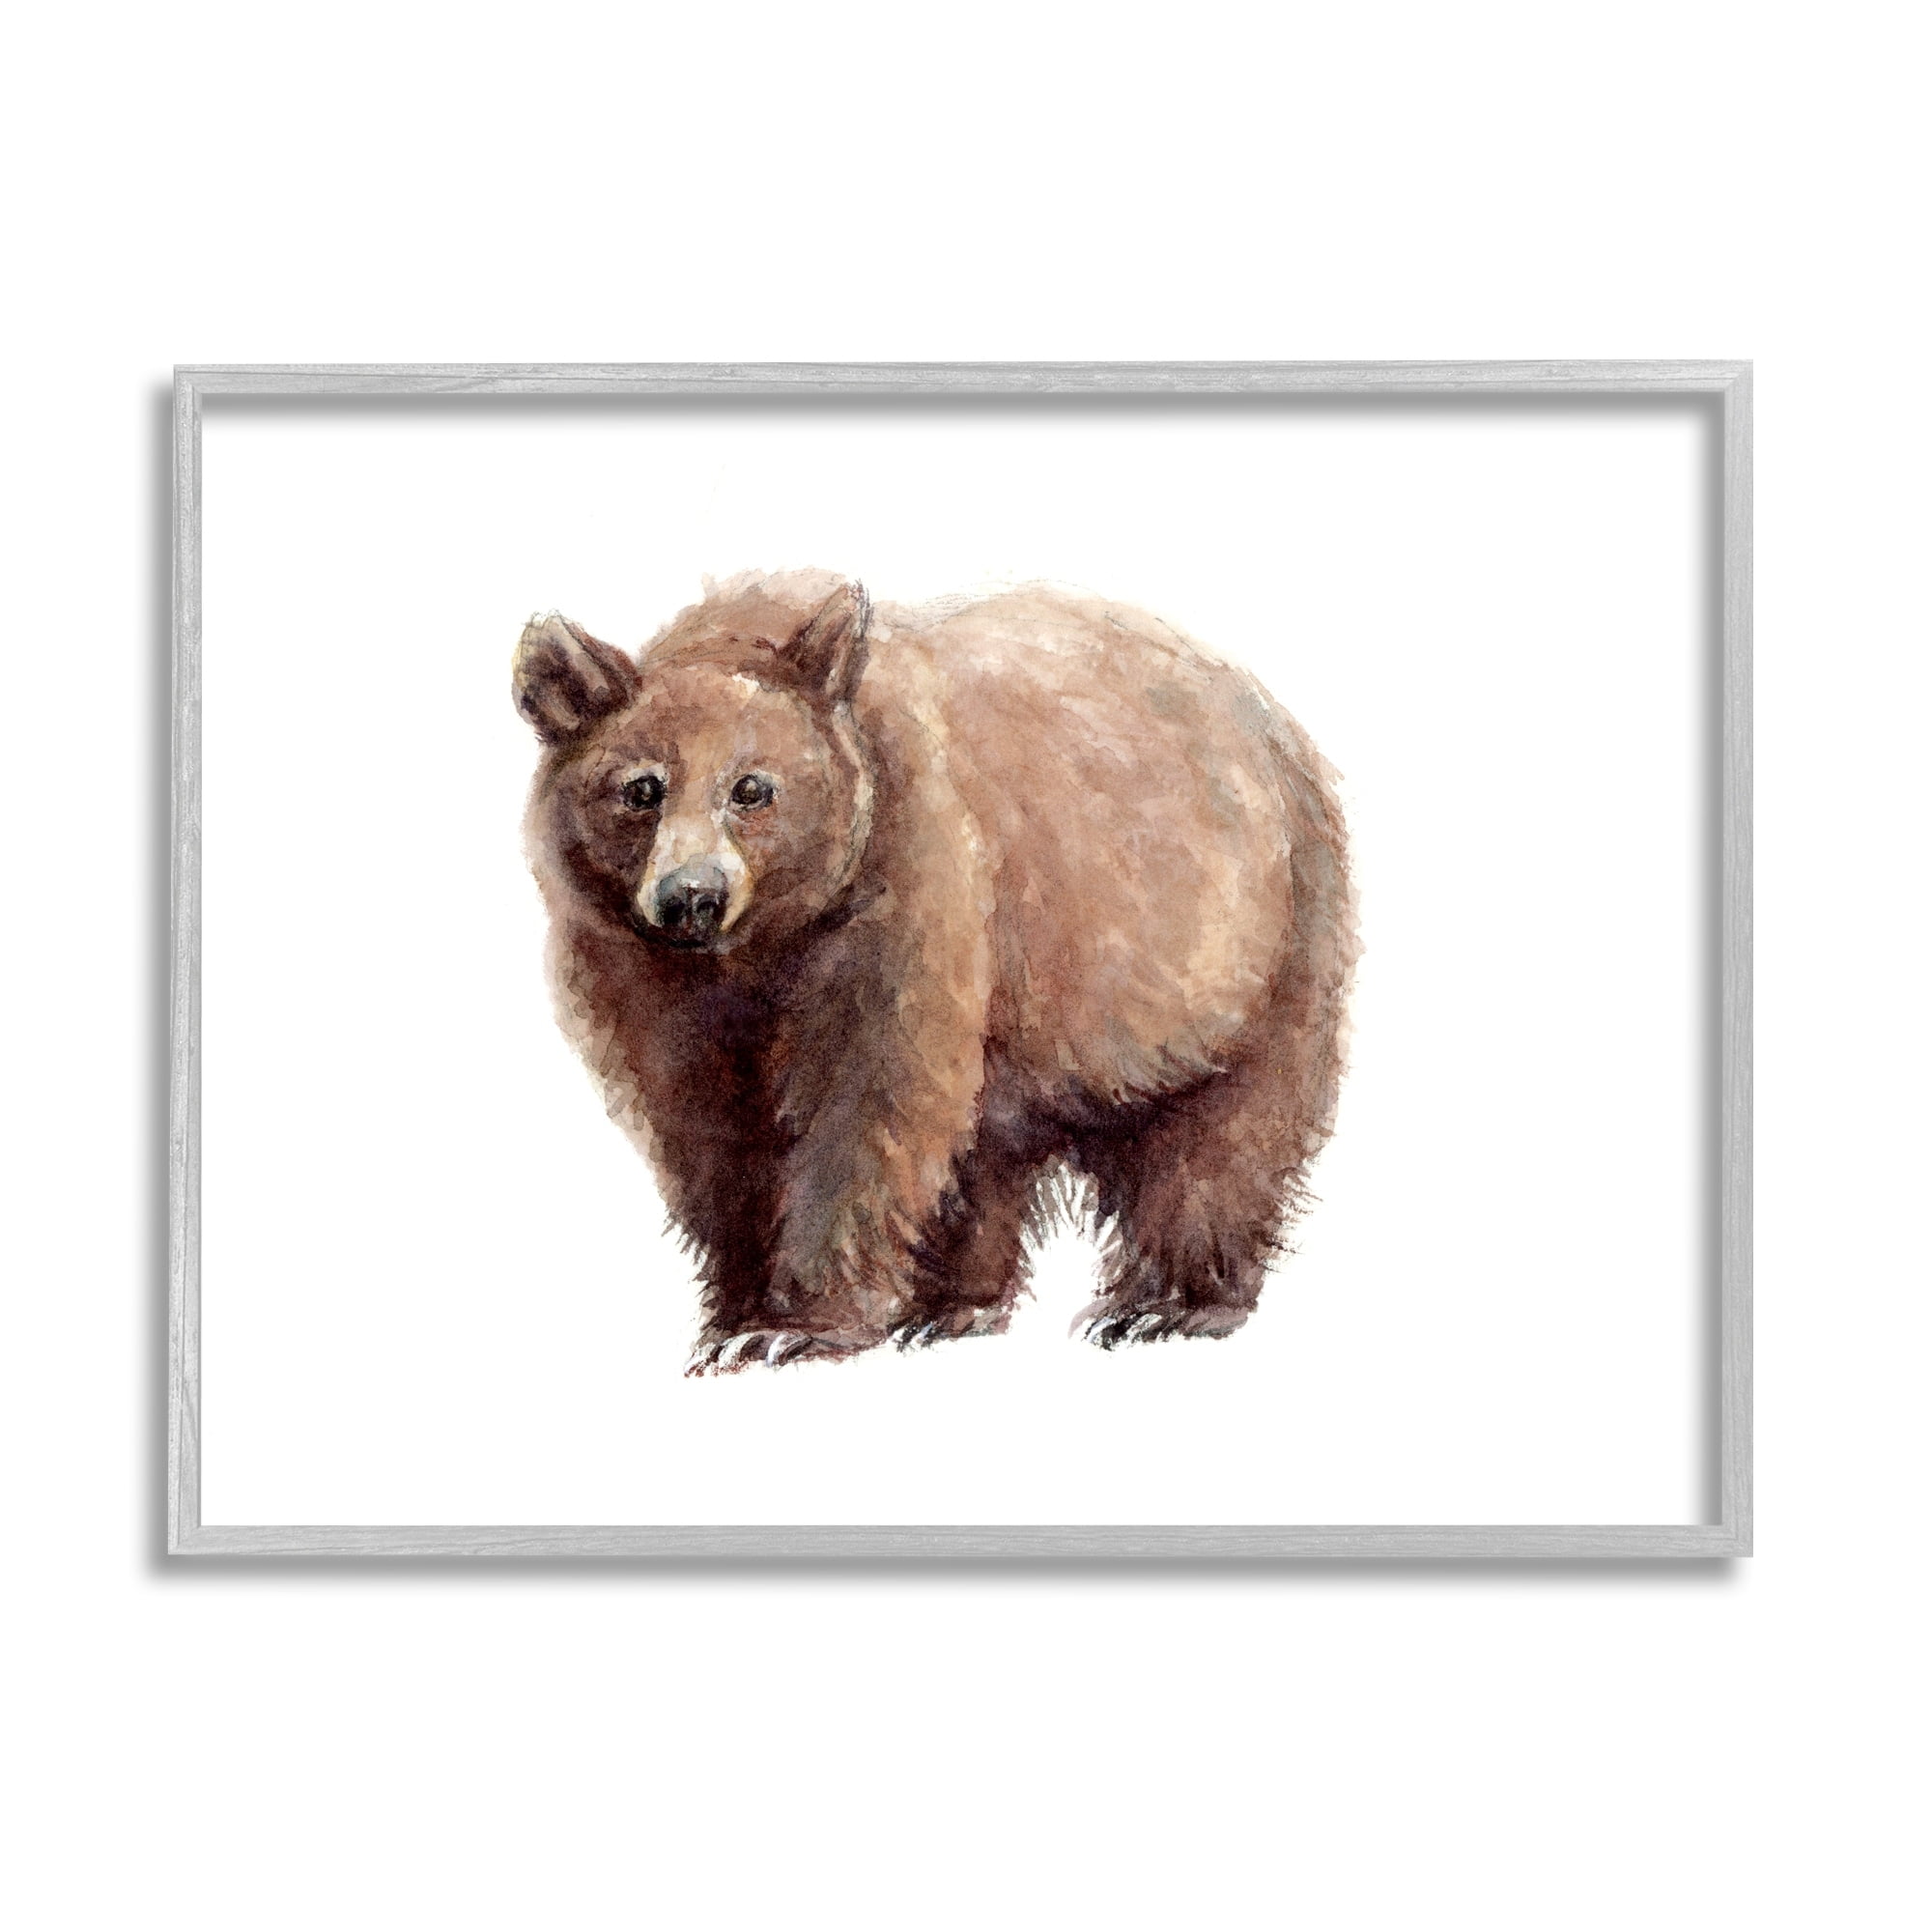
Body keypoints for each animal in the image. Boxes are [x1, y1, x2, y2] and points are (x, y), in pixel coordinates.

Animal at [514, 569, 1356, 1374]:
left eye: (752, 788)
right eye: (640, 789)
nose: (691, 896)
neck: (759, 946)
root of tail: (1274, 723)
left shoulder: (906, 880)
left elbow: (868, 1099)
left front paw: (789, 1328)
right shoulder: (641, 968)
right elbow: (708, 1123)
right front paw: (736, 1312)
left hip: (1252, 944)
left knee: (1224, 1133)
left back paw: (1167, 1305)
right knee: (986, 1147)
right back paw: (955, 1308)